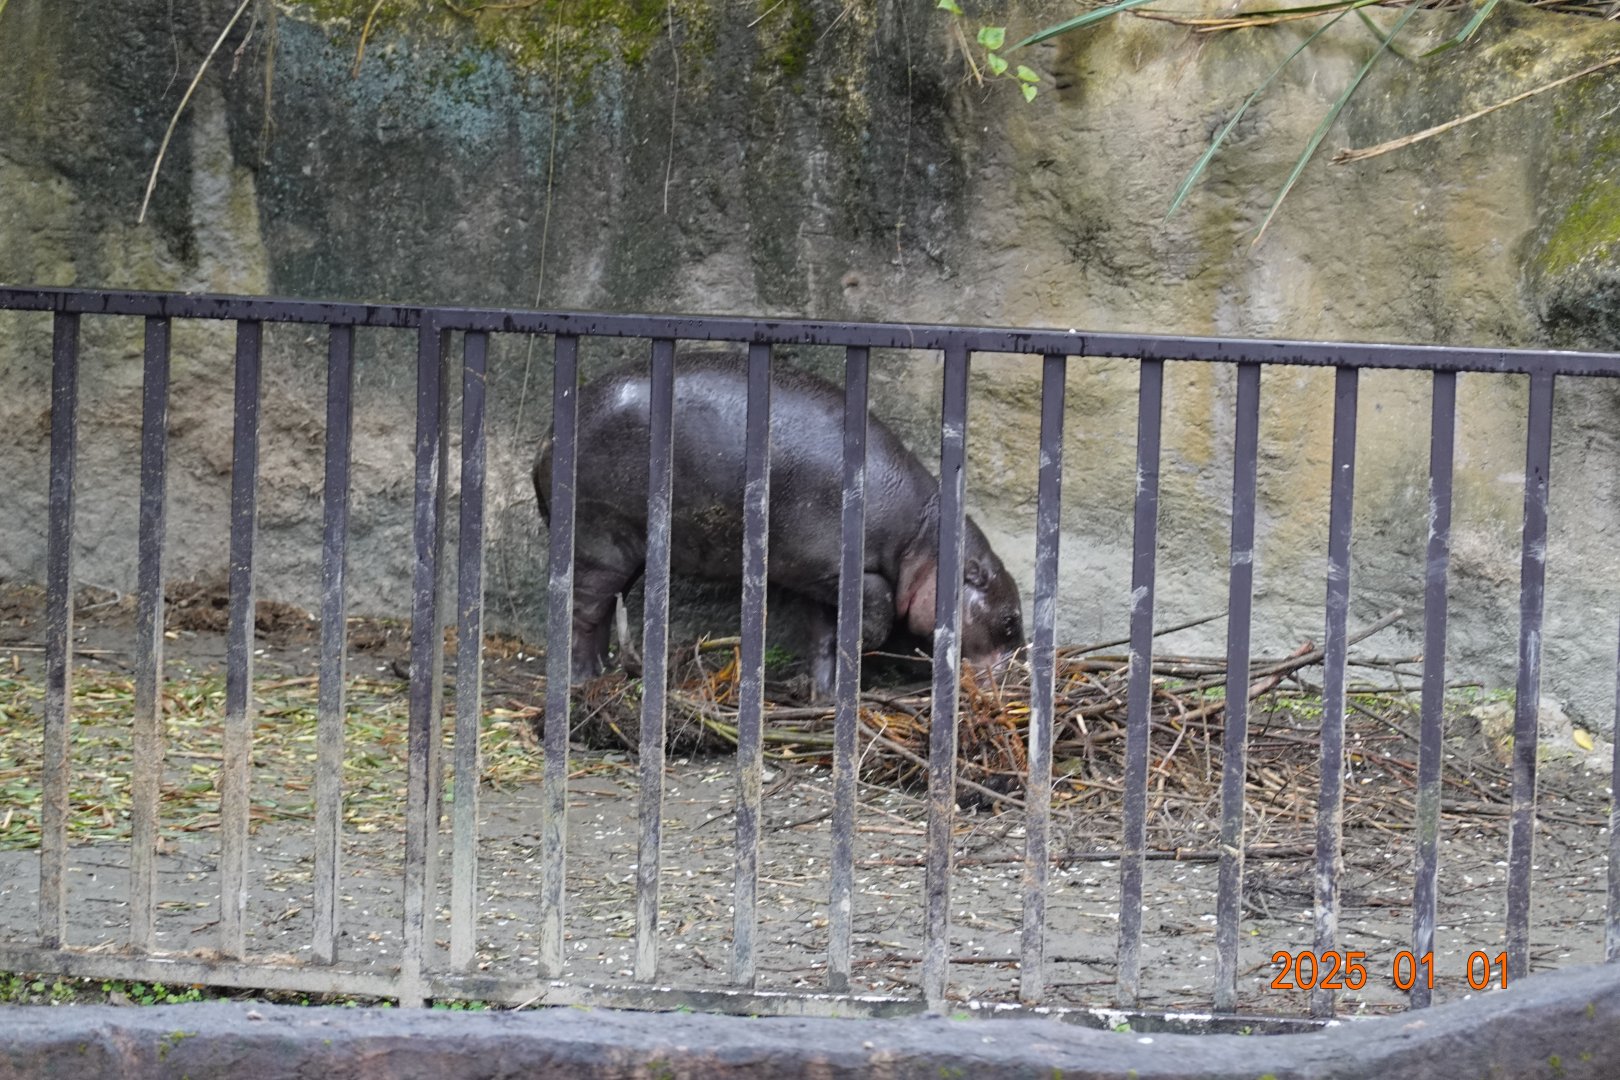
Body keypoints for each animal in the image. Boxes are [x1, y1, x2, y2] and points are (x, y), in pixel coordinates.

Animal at [533, 351, 1024, 696]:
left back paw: (600, 674)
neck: (922, 540)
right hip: (599, 541)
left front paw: (825, 693)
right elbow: (879, 603)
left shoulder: (819, 579)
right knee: (582, 613)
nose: (1015, 678)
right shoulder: (838, 568)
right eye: (1010, 622)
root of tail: (548, 436)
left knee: (599, 610)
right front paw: (864, 648)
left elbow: (825, 636)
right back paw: (581, 679)